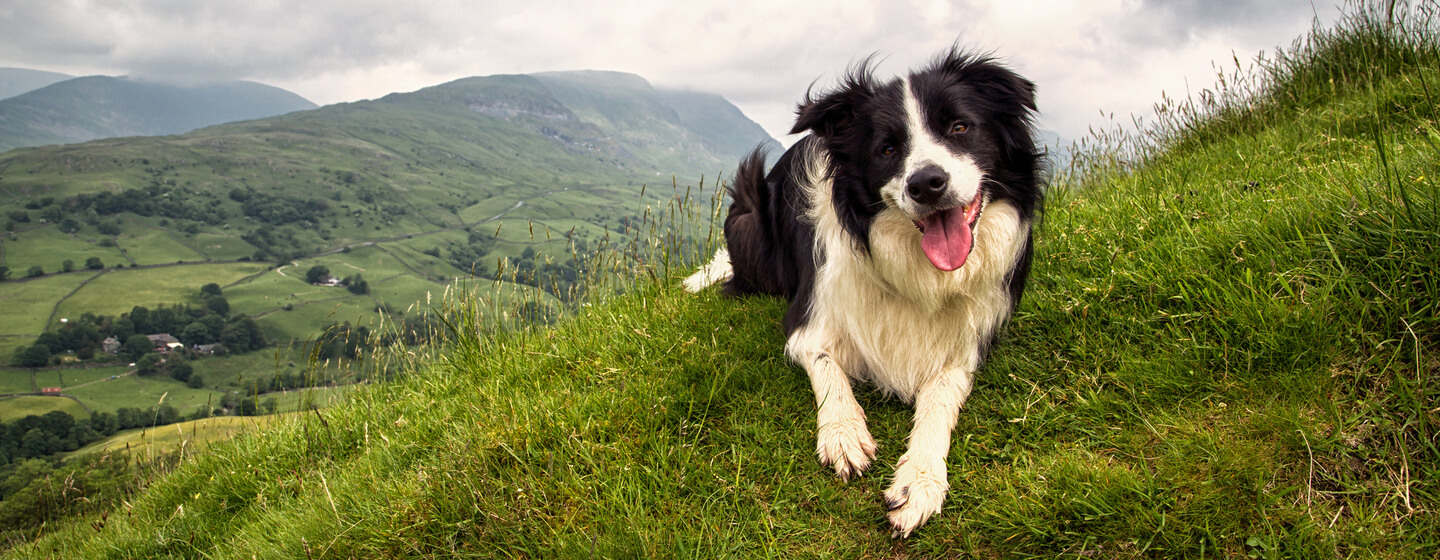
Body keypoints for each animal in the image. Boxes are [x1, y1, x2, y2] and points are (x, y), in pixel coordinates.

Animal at [685, 50, 1036, 535]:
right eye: (887, 150)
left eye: (960, 127)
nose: (926, 183)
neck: (917, 271)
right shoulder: (809, 319)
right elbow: (827, 367)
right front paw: (843, 433)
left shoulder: (968, 344)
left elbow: (940, 399)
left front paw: (920, 479)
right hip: (749, 215)